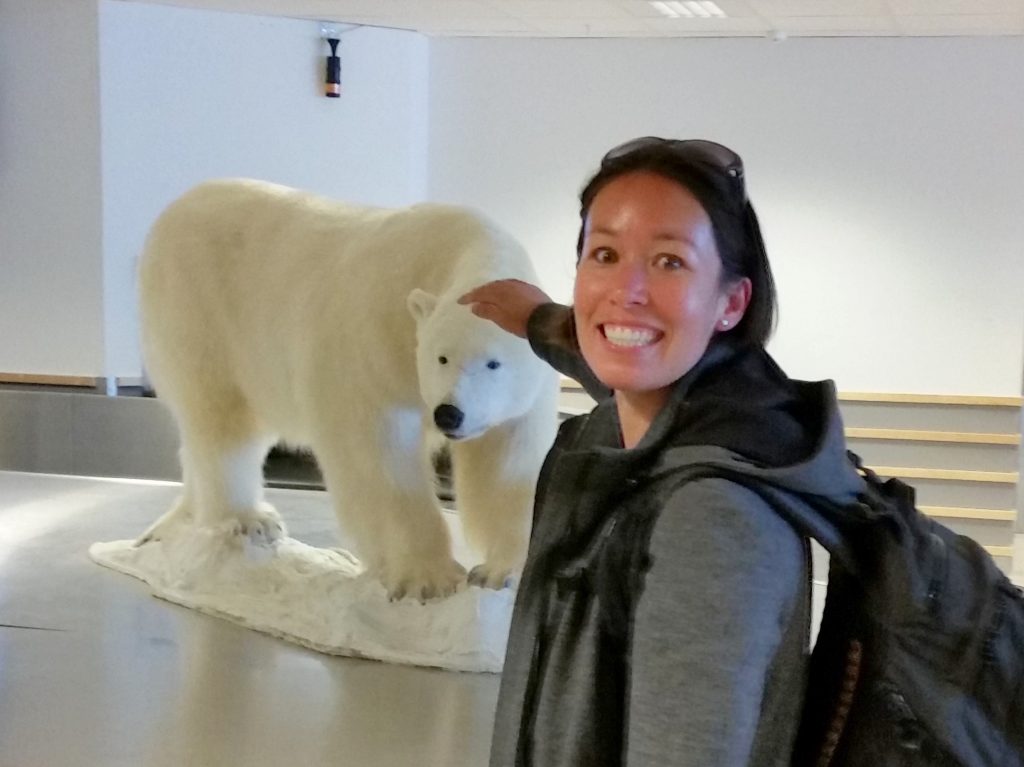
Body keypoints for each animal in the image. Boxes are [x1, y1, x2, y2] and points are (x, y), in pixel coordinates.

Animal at [135, 179, 559, 601]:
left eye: (493, 363)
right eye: (441, 357)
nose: (449, 414)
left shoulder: (522, 398)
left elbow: (509, 464)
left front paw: (504, 570)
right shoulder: (376, 337)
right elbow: (377, 453)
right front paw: (427, 578)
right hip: (199, 309)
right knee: (221, 418)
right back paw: (247, 520)